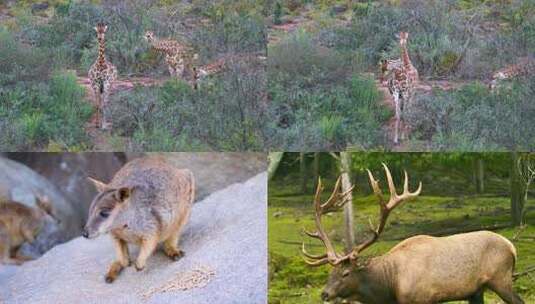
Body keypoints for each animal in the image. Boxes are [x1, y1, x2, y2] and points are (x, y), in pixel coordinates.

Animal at [304, 165, 524, 302]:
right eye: (330, 272)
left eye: (346, 273)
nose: (324, 294)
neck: (390, 288)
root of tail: (512, 248)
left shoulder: (422, 298)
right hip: (476, 291)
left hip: (501, 279)